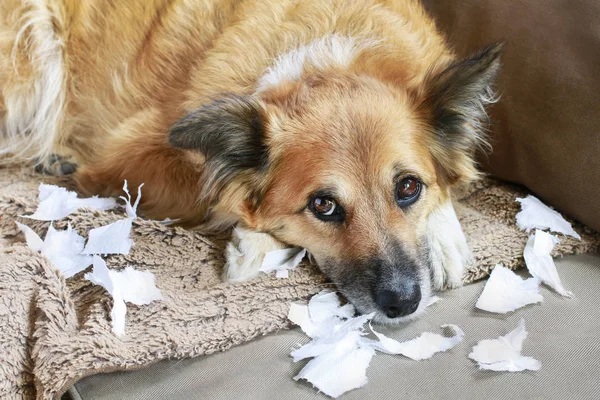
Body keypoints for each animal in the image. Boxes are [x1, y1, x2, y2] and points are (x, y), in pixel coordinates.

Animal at [1, 0, 502, 324]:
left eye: (409, 188)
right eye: (323, 206)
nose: (403, 303)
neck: (327, 58)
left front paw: (445, 239)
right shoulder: (128, 153)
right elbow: (218, 192)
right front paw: (253, 245)